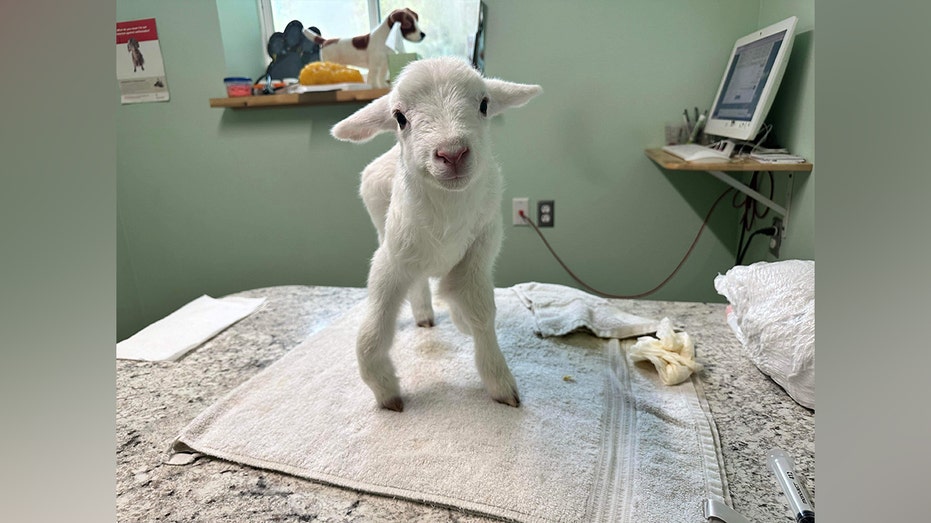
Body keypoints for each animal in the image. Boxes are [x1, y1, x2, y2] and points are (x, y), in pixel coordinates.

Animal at [332, 56, 544, 410]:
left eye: (484, 104)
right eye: (399, 117)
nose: (452, 153)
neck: (447, 212)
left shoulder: (478, 252)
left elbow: (480, 309)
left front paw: (500, 381)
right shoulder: (391, 258)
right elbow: (373, 326)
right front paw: (386, 392)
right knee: (419, 284)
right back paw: (423, 316)